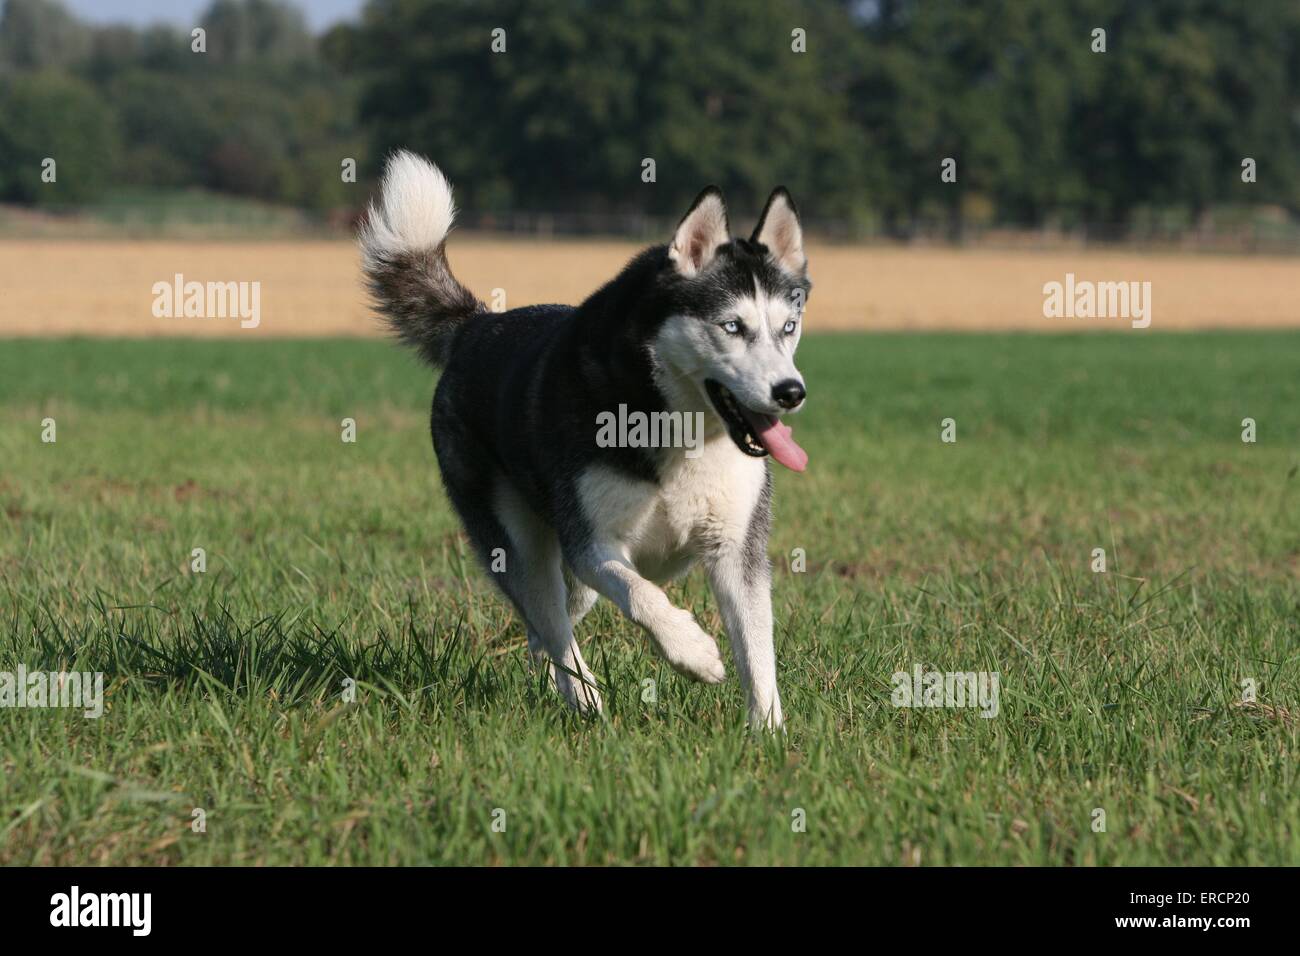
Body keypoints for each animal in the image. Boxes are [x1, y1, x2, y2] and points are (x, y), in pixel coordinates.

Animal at [366, 153, 806, 728]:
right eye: (732, 326)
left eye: (789, 326)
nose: (791, 392)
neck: (681, 431)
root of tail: (475, 328)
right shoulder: (591, 545)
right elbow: (641, 595)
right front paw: (693, 652)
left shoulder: (736, 547)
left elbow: (757, 651)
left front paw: (768, 731)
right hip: (523, 549)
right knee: (553, 625)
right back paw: (586, 701)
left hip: (571, 583)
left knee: (544, 628)